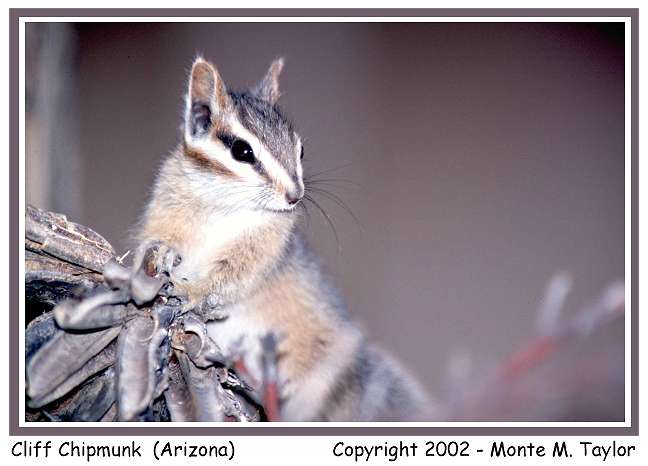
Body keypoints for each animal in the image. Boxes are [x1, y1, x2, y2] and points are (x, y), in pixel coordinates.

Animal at [136, 57, 430, 421]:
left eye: (300, 149)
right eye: (242, 150)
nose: (295, 196)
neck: (227, 204)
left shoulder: (263, 246)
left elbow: (231, 276)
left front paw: (193, 290)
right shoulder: (166, 208)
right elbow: (156, 239)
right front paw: (160, 254)